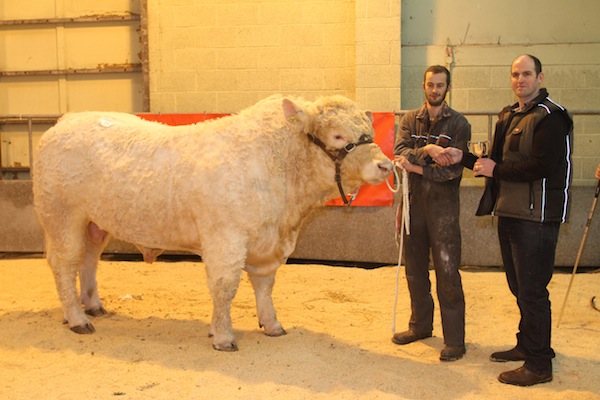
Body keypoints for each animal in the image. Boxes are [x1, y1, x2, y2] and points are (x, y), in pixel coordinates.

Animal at [35, 94, 396, 350]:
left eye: (368, 132)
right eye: (338, 135)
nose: (386, 165)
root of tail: (66, 120)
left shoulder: (267, 244)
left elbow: (264, 285)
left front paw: (272, 325)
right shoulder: (226, 238)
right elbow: (224, 286)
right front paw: (223, 336)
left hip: (94, 223)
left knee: (89, 260)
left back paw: (93, 305)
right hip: (62, 217)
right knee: (64, 264)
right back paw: (77, 318)